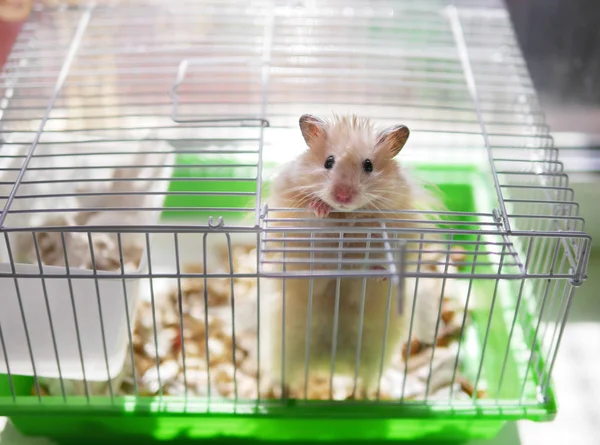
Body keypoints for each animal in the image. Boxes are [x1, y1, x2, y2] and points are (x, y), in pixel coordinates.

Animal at [260, 113, 434, 396]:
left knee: (364, 382)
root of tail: (330, 365)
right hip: (283, 350)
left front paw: (380, 274)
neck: (343, 216)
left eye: (368, 166)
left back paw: (359, 395)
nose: (342, 195)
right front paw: (320, 207)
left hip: (375, 357)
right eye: (329, 162)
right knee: (285, 378)